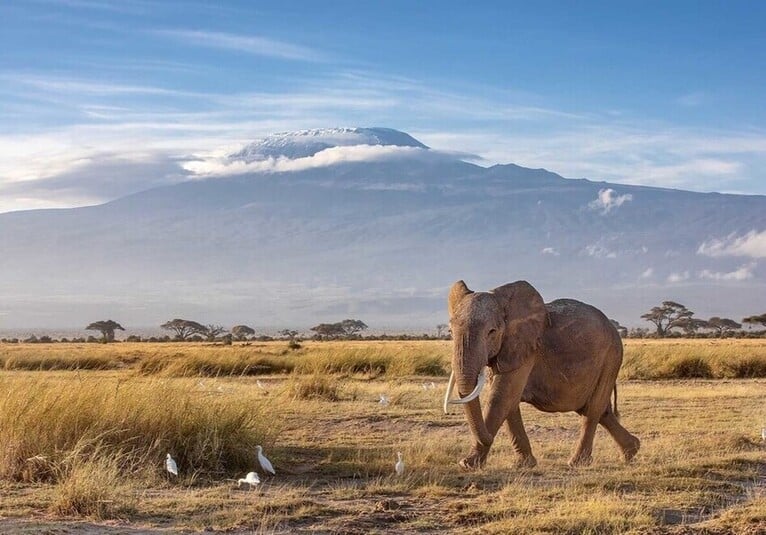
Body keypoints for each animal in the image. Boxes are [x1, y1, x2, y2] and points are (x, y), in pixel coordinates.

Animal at [444, 280, 640, 468]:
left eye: (491, 332)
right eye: (450, 332)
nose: (490, 438)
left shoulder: (526, 349)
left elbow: (501, 398)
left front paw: (467, 464)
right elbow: (510, 402)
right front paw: (524, 464)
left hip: (611, 357)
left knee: (592, 410)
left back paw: (577, 463)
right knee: (600, 411)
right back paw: (632, 451)